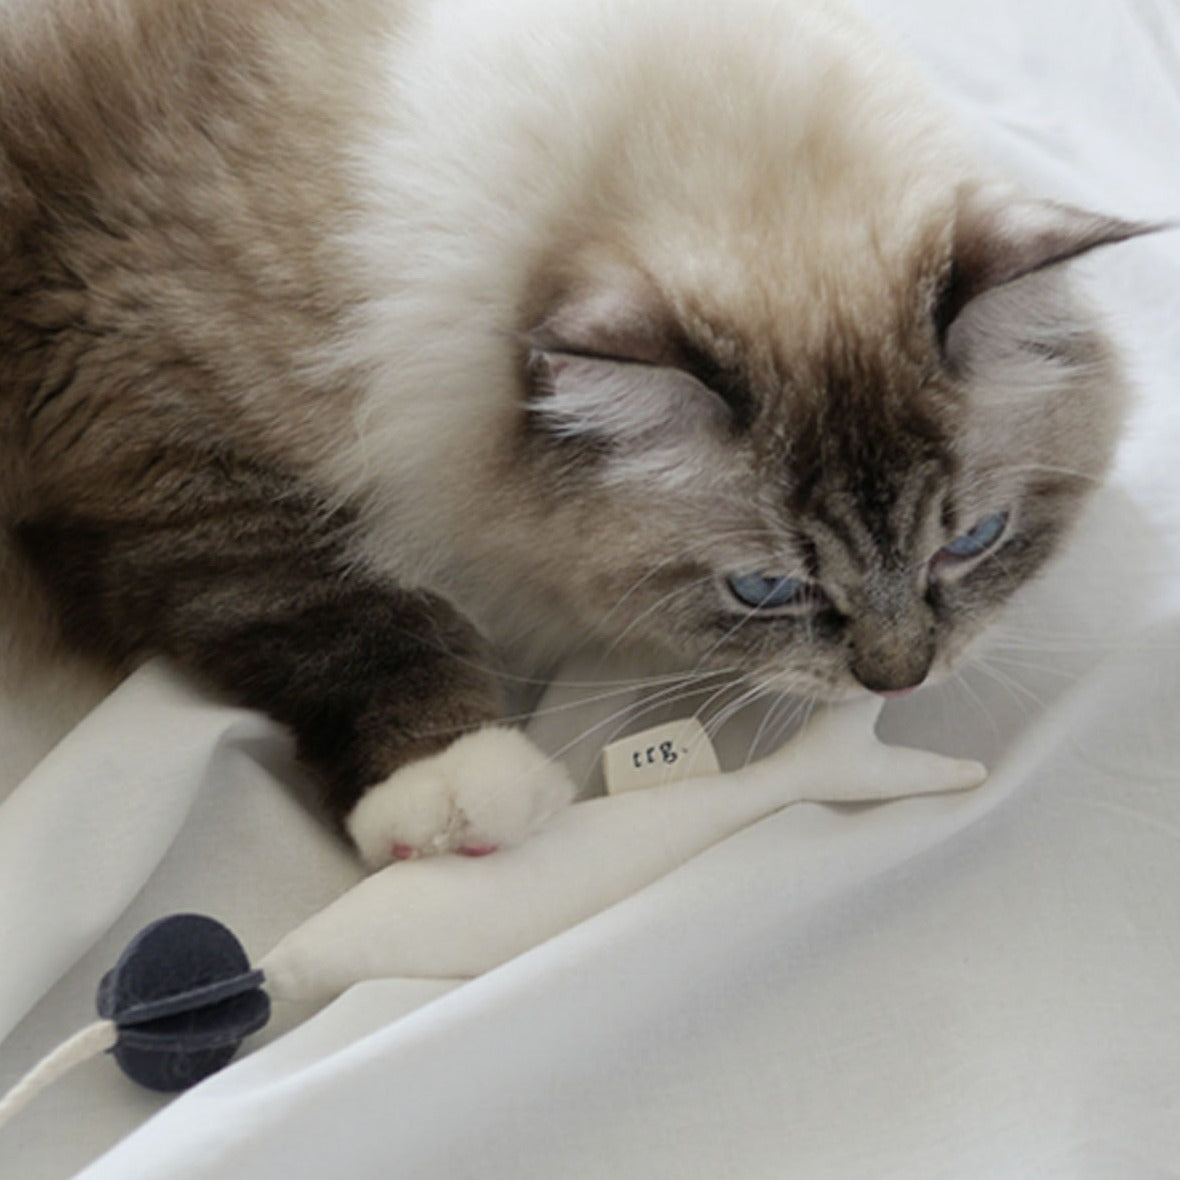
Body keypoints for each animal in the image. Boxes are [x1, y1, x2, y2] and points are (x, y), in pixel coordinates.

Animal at [0, 0, 1146, 868]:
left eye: (973, 541)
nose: (900, 678)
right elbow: (345, 611)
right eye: (764, 589)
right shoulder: (161, 433)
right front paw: (449, 787)